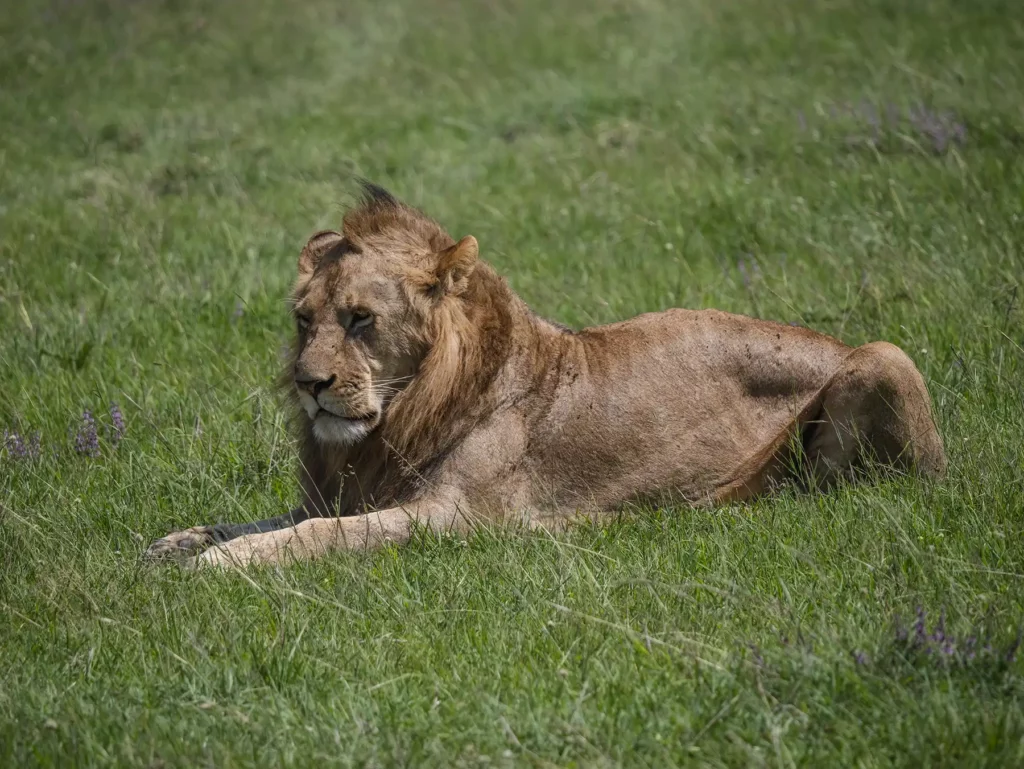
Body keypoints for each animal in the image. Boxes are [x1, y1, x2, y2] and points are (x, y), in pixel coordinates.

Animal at [146, 182, 946, 568]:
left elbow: (318, 537)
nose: (309, 385)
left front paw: (222, 563)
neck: (390, 425)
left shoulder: (455, 518)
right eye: (303, 321)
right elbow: (270, 519)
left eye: (361, 319)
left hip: (885, 354)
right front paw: (181, 542)